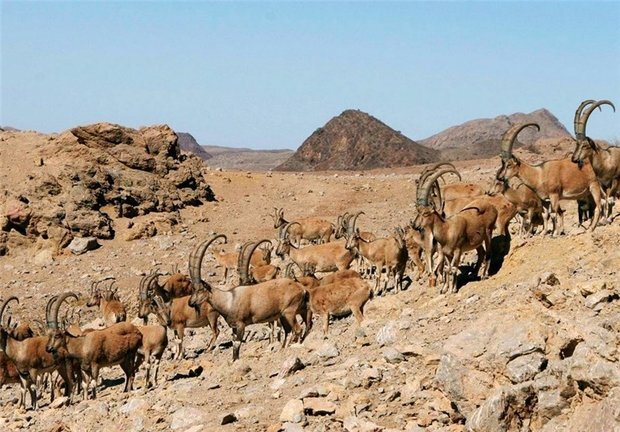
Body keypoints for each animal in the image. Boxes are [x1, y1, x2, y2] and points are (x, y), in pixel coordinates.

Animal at [414, 166, 496, 294]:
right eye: (418, 211)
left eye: (426, 213)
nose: (415, 226)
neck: (447, 231)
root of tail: (493, 208)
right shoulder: (447, 254)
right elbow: (448, 268)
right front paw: (444, 289)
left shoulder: (458, 251)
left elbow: (453, 269)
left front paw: (453, 289)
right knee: (482, 252)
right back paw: (474, 274)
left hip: (488, 233)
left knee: (488, 252)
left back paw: (484, 274)